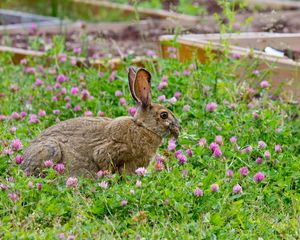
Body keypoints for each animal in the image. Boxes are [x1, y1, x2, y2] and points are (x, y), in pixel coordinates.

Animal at [23, 66, 179, 177]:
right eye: (164, 115)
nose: (178, 128)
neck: (143, 127)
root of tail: (23, 161)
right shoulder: (110, 151)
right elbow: (104, 162)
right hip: (51, 150)